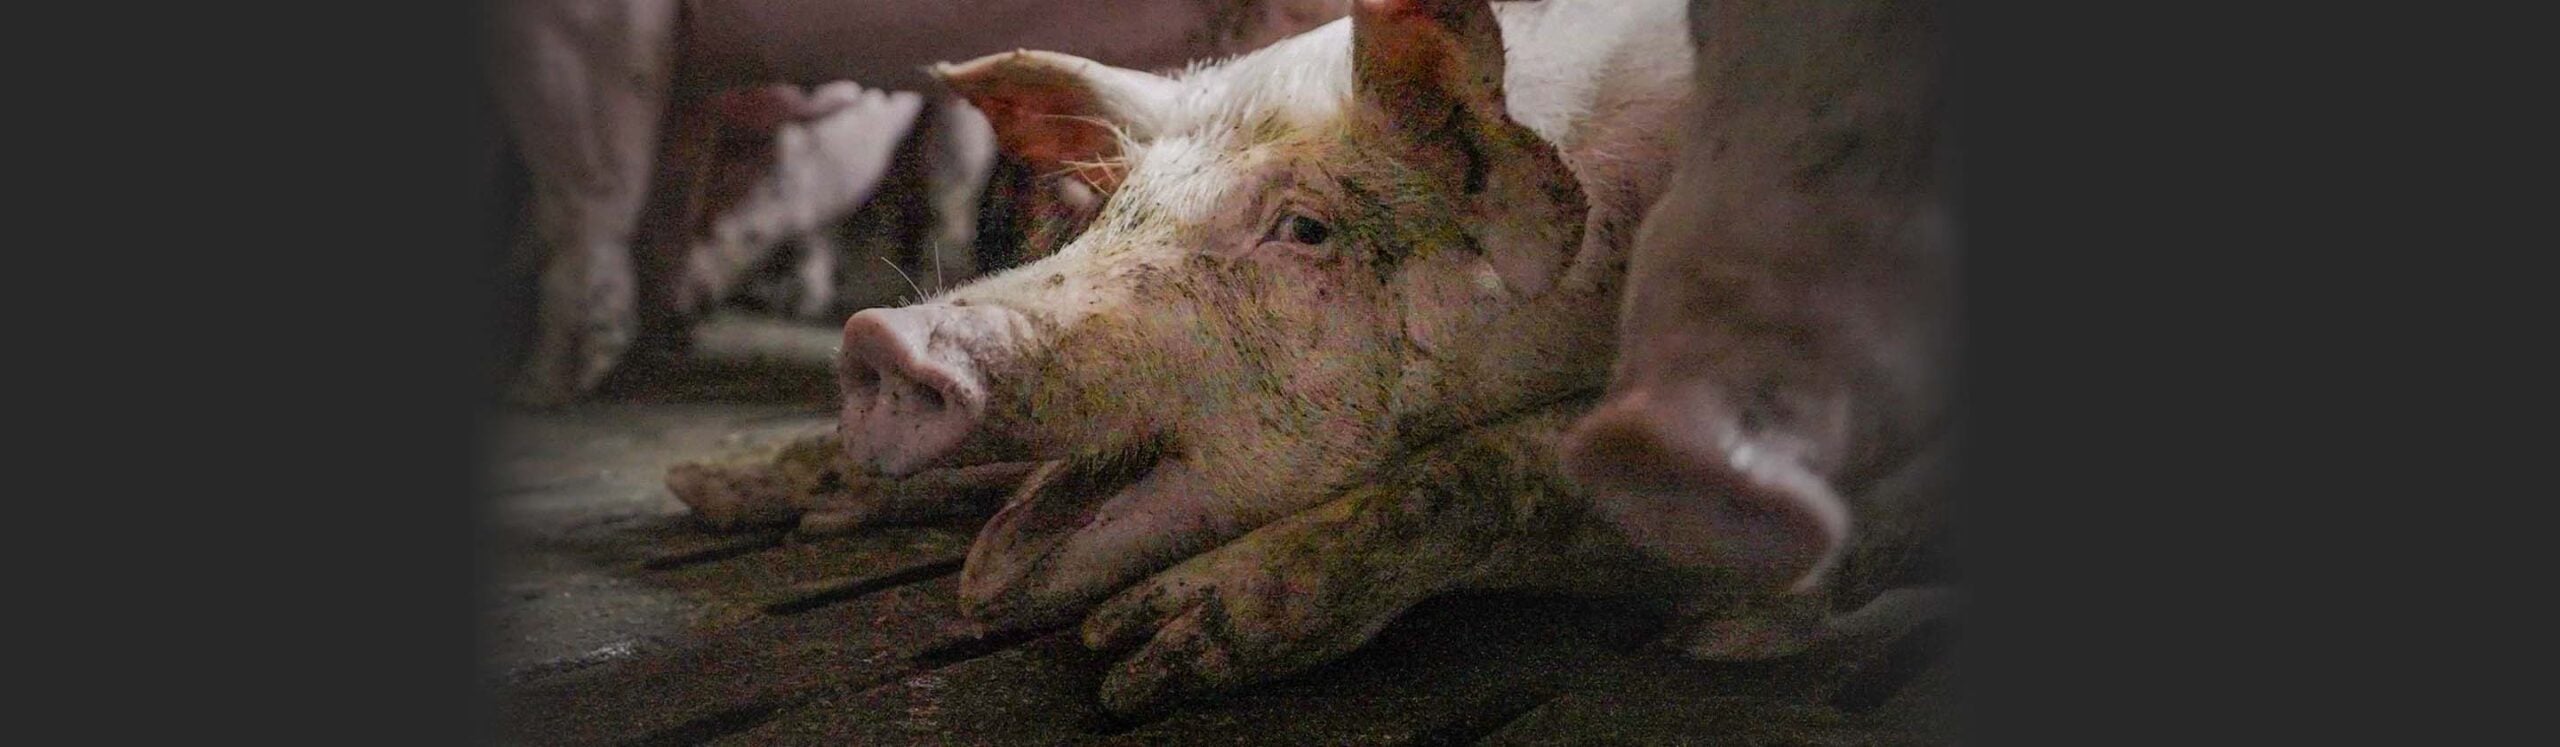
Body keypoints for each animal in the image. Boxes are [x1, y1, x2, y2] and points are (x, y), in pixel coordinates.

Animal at [486, 0, 1354, 405]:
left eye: (756, 157)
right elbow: (661, 189)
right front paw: (658, 343)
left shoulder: (585, 26)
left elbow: (592, 192)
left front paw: (542, 390)